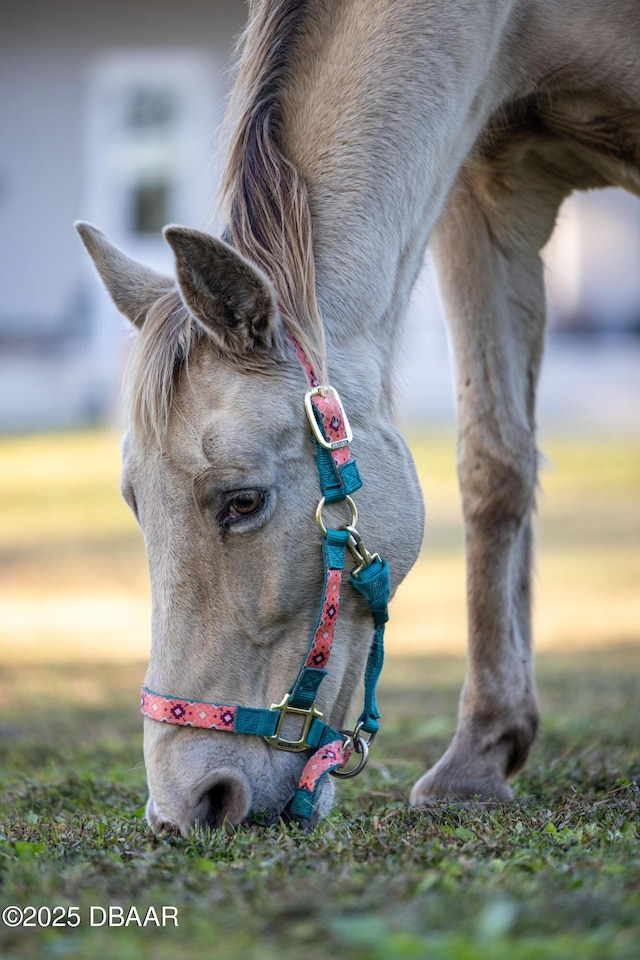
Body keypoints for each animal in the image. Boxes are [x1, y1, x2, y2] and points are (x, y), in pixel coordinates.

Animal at [76, 0, 640, 836]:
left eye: (242, 501)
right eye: (133, 503)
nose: (184, 807)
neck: (515, 24)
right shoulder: (487, 193)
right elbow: (495, 462)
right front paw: (480, 756)